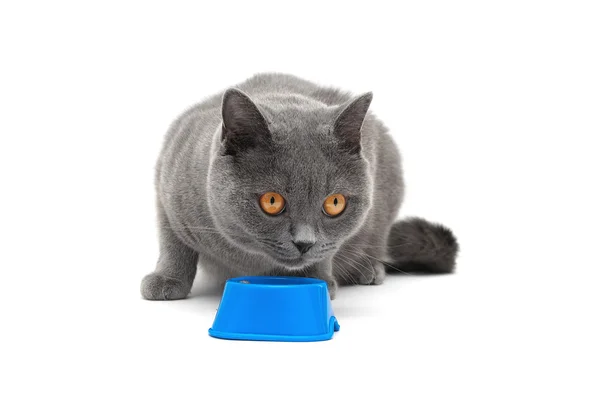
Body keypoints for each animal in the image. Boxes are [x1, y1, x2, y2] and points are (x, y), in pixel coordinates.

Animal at [142, 72, 460, 300]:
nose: (304, 243)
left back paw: (368, 269)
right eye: (272, 201)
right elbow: (173, 243)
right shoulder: (167, 180)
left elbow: (330, 248)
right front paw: (167, 280)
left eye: (335, 203)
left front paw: (319, 281)